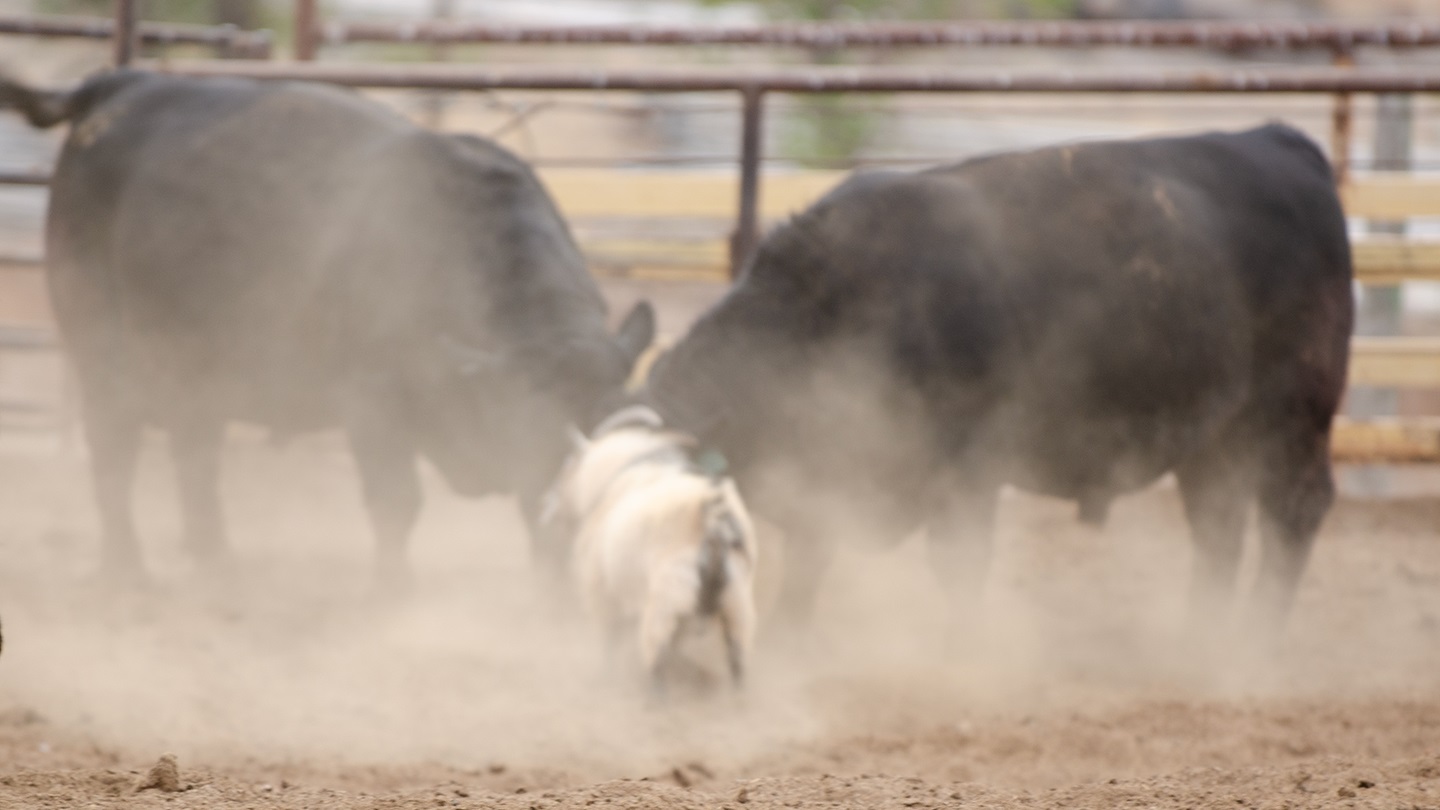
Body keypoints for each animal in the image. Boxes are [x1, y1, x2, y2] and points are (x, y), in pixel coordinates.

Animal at [0, 69, 655, 589]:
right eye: (538, 422)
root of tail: (124, 82)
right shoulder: (373, 402)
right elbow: (396, 500)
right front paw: (395, 587)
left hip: (195, 373)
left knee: (196, 457)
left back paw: (215, 559)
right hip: (103, 356)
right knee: (114, 453)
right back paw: (126, 567)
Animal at [549, 405, 758, 692]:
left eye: (568, 467)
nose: (550, 509)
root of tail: (713, 513)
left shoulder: (602, 596)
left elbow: (608, 646)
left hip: (664, 604)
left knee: (657, 666)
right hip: (737, 608)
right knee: (738, 668)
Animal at [648, 124, 1353, 645]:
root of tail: (1280, 140)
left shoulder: (967, 470)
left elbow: (957, 562)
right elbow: (809, 561)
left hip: (1293, 417)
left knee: (1292, 512)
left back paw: (1255, 638)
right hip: (1214, 438)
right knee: (1218, 525)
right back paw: (1199, 636)